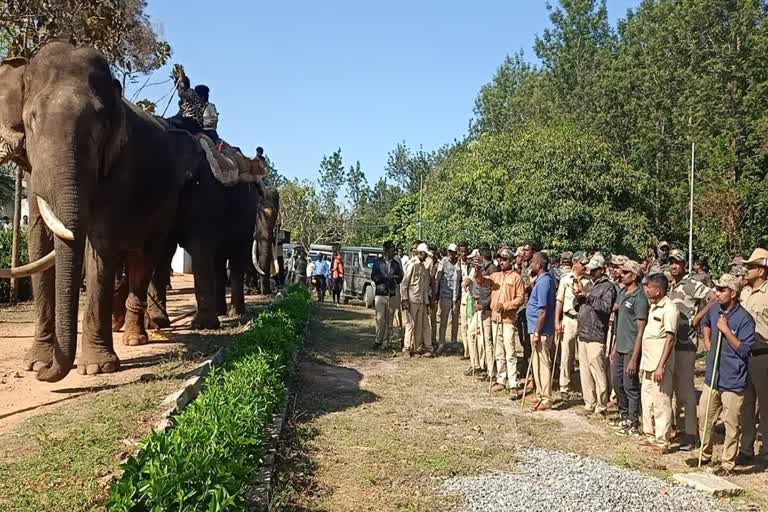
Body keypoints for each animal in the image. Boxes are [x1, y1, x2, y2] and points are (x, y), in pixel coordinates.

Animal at [0, 43, 207, 380]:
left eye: (99, 123)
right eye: (32, 118)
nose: (46, 372)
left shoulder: (119, 164)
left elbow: (99, 243)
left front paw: (97, 367)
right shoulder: (33, 172)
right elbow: (39, 243)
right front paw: (34, 362)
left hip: (164, 205)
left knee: (142, 258)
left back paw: (135, 337)